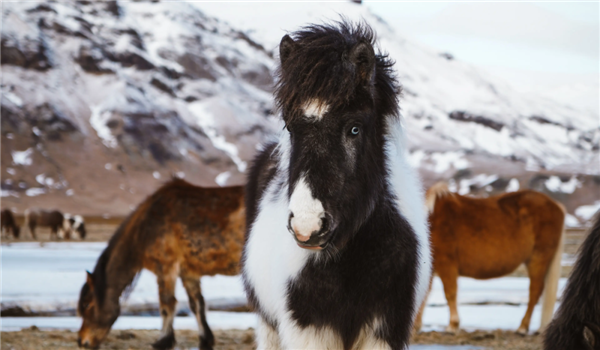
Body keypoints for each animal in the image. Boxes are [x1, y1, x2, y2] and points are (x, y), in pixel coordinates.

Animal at [77, 180, 244, 350]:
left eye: (87, 304)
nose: (82, 341)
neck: (145, 229)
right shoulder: (189, 273)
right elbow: (197, 305)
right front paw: (205, 340)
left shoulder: (166, 268)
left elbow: (167, 303)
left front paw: (163, 341)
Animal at [244, 21, 432, 350]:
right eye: (290, 127)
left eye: (354, 129)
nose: (307, 225)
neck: (351, 264)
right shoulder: (308, 331)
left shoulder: (384, 331)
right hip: (268, 326)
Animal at [418, 182, 568, 334]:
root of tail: (556, 205)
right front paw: (416, 325)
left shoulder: (446, 263)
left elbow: (450, 293)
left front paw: (452, 326)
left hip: (538, 258)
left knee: (534, 292)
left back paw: (522, 328)